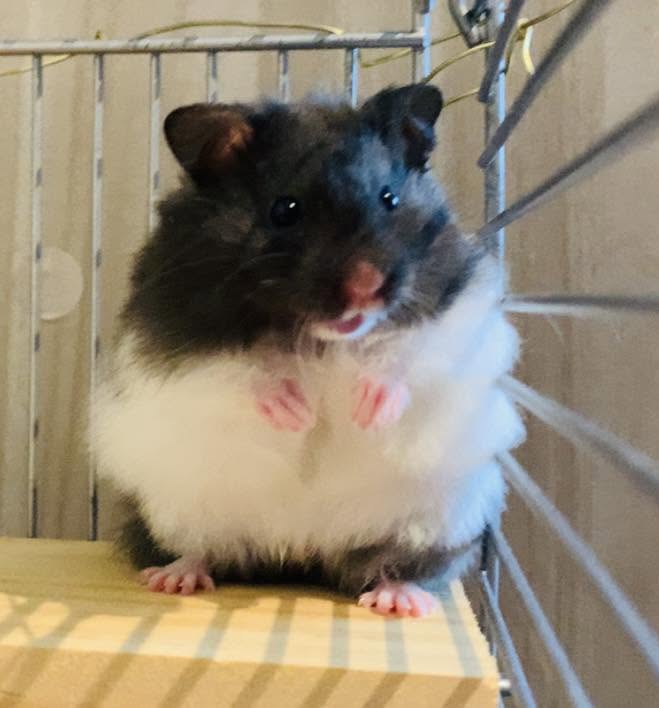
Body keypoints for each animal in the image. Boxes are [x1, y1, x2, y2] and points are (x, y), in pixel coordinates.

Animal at [92, 83, 524, 617]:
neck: (325, 337)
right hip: (177, 506)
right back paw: (173, 578)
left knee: (395, 564)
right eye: (285, 209)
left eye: (390, 198)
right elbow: (237, 374)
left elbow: (410, 363)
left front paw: (367, 411)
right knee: (201, 549)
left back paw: (400, 601)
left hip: (438, 518)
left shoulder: (460, 320)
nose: (365, 288)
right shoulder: (176, 344)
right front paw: (297, 411)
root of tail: (301, 553)